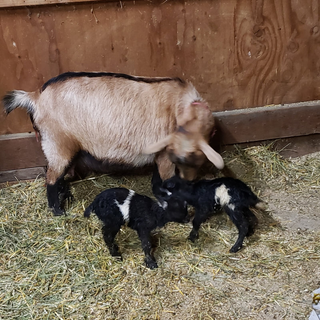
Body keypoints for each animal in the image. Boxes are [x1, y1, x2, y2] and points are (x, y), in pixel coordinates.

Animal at [2, 71, 224, 214]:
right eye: (183, 160)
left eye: (197, 160)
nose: (190, 181)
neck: (181, 107)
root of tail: (35, 97)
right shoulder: (165, 154)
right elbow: (165, 180)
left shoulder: (161, 152)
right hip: (57, 143)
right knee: (51, 178)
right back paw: (57, 210)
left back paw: (68, 197)